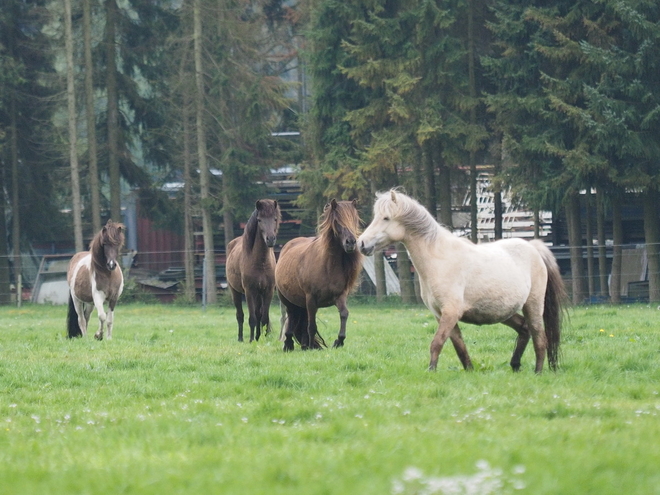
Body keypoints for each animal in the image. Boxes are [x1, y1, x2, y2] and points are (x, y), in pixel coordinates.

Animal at [227, 200, 282, 342]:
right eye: (259, 220)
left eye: (275, 218)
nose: (270, 239)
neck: (260, 262)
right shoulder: (249, 291)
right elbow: (251, 318)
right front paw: (252, 340)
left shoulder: (268, 291)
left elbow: (263, 318)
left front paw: (263, 339)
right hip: (235, 291)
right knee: (240, 315)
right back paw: (241, 338)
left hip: (258, 294)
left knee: (258, 314)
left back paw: (257, 336)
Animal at [276, 200, 364, 350]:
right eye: (336, 220)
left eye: (355, 219)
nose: (351, 242)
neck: (327, 267)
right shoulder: (311, 299)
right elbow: (311, 325)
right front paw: (312, 346)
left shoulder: (340, 296)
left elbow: (344, 314)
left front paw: (339, 341)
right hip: (287, 300)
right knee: (291, 316)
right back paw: (289, 344)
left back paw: (303, 345)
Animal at [358, 189, 564, 372]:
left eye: (386, 218)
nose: (361, 243)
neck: (438, 259)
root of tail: (534, 247)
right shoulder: (441, 314)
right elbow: (459, 347)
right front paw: (469, 370)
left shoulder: (450, 312)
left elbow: (437, 343)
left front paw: (431, 371)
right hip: (505, 312)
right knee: (524, 329)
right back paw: (515, 365)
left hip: (533, 306)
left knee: (539, 338)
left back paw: (537, 371)